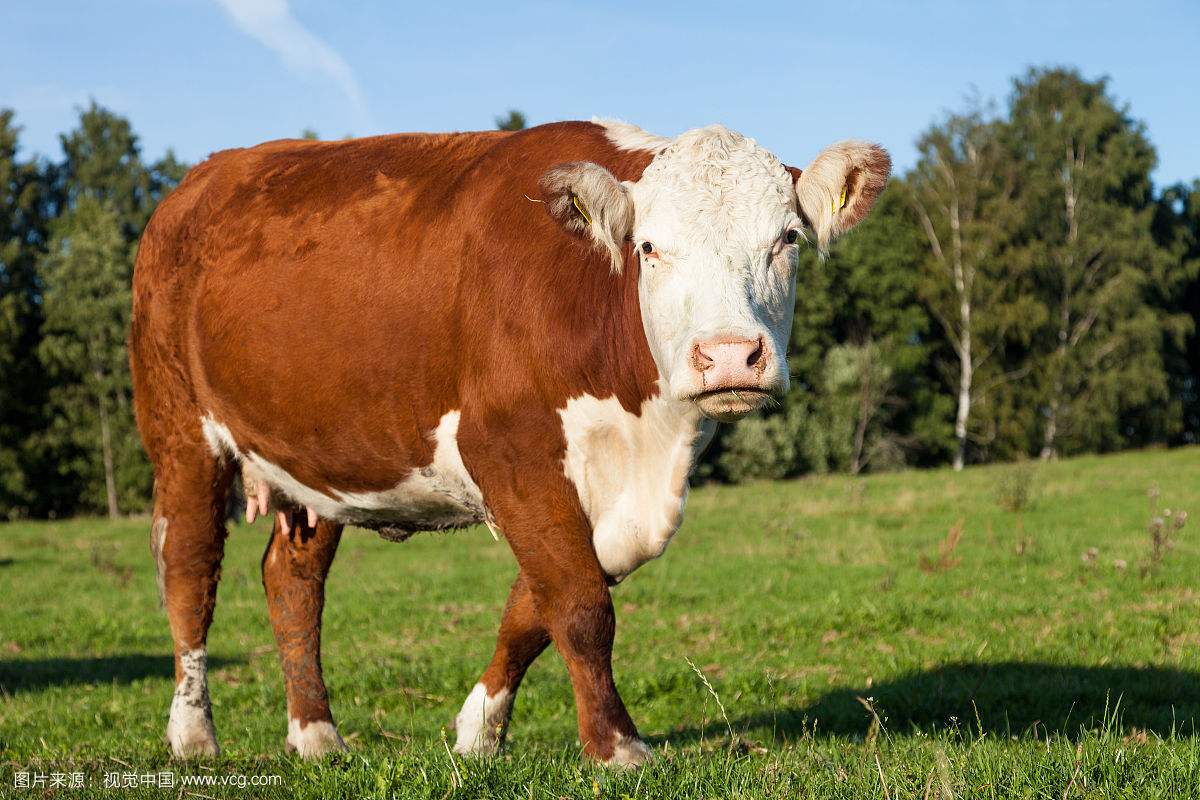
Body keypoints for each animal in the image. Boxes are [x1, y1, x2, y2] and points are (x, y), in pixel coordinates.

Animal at [131, 118, 888, 762]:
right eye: (649, 247)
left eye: (788, 239)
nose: (730, 355)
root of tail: (206, 176)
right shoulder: (511, 454)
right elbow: (579, 605)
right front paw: (616, 747)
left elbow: (535, 605)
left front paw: (478, 732)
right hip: (179, 428)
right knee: (188, 568)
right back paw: (193, 734)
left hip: (314, 456)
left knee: (293, 578)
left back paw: (316, 735)